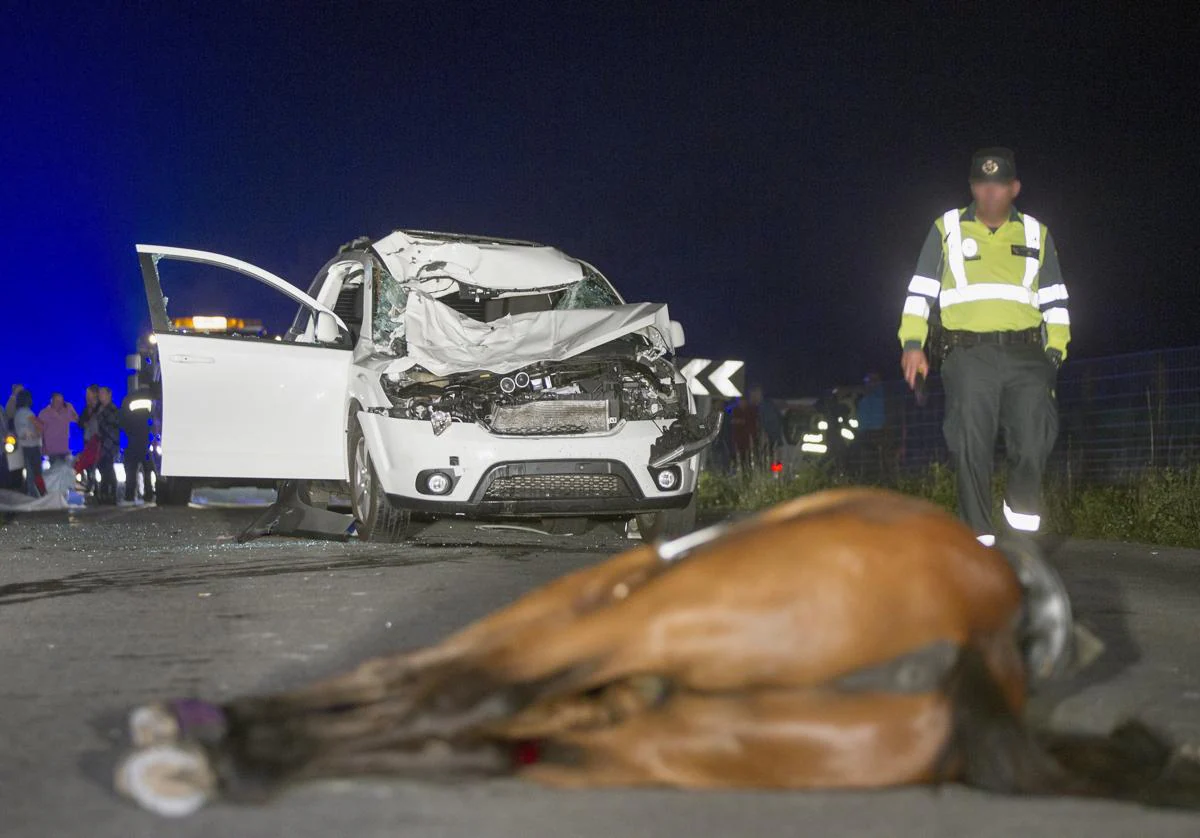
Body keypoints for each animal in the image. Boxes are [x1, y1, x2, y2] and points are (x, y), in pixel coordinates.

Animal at [117, 487, 1200, 811]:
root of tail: (980, 631)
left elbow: (415, 677)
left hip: (624, 625)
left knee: (456, 701)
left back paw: (226, 750)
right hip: (671, 743)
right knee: (473, 742)